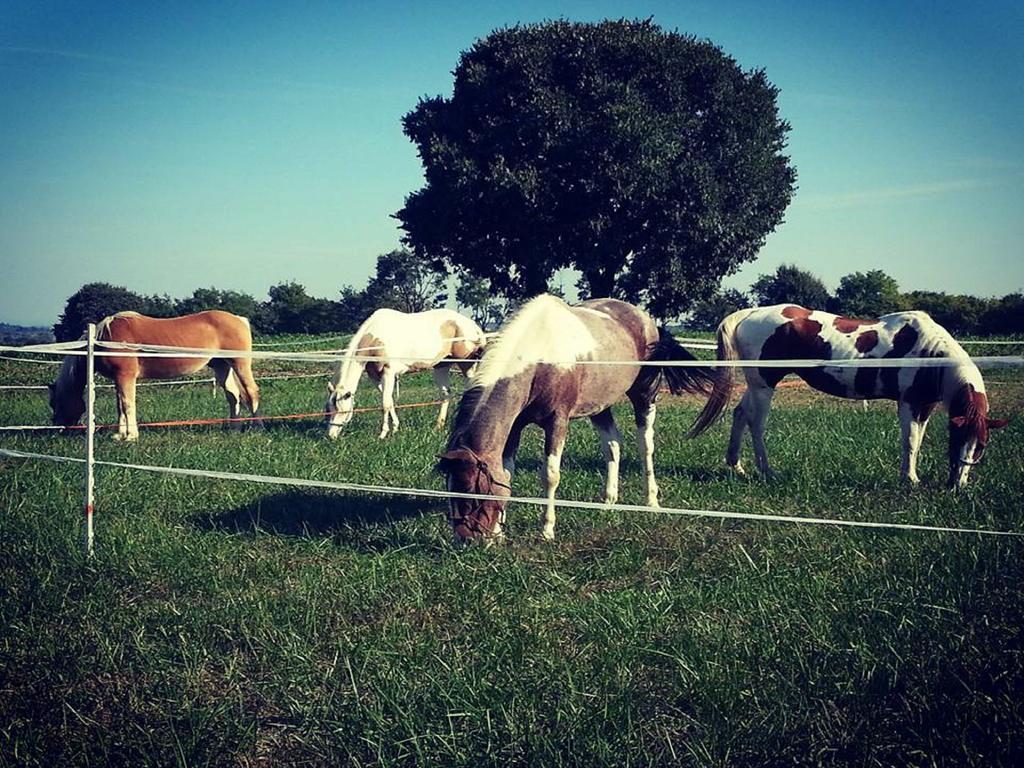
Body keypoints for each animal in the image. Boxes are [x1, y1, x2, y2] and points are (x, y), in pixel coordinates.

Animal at [50, 309, 262, 442]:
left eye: (55, 403)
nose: (57, 429)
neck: (104, 339)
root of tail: (239, 319)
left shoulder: (126, 377)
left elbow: (127, 405)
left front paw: (131, 436)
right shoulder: (119, 379)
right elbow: (120, 407)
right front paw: (120, 435)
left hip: (240, 364)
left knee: (251, 393)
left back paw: (257, 426)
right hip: (221, 366)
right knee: (233, 396)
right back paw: (233, 428)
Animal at [327, 307, 487, 438]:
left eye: (342, 411)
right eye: (329, 409)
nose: (331, 435)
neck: (375, 339)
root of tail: (472, 325)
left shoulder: (388, 373)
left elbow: (385, 403)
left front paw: (383, 434)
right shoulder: (375, 377)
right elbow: (390, 401)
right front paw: (396, 427)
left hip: (466, 365)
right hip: (441, 367)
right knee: (446, 395)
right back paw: (438, 426)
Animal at [436, 290, 716, 544]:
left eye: (472, 490)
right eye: (450, 489)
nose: (464, 541)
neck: (540, 353)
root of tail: (645, 319)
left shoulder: (557, 422)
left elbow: (550, 475)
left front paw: (547, 531)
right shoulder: (515, 426)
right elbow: (506, 473)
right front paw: (500, 532)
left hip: (644, 395)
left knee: (645, 446)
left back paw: (651, 501)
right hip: (601, 407)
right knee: (612, 445)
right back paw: (608, 502)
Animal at [688, 305, 1007, 489]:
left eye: (981, 445)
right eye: (961, 438)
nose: (958, 486)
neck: (931, 353)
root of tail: (749, 313)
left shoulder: (925, 405)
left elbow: (917, 441)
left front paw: (913, 476)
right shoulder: (908, 403)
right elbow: (910, 441)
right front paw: (910, 480)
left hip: (756, 385)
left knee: (740, 414)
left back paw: (737, 466)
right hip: (764, 386)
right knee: (756, 424)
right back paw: (767, 471)